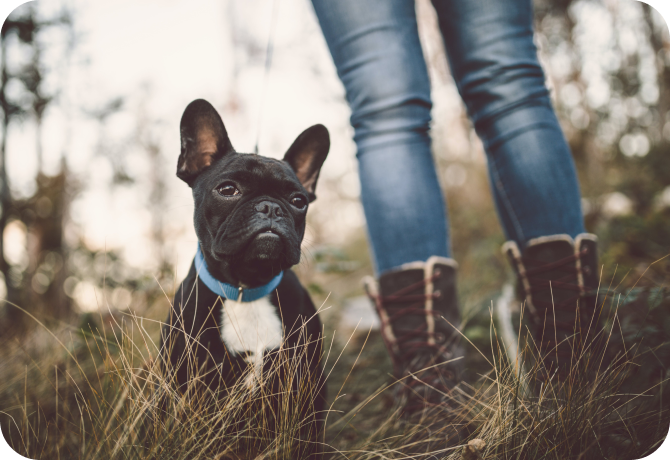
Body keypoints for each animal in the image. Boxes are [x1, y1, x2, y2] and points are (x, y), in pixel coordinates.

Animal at [160, 99, 328, 456]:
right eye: (228, 190)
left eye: (298, 201)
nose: (270, 207)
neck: (245, 288)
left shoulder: (307, 382)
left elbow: (307, 440)